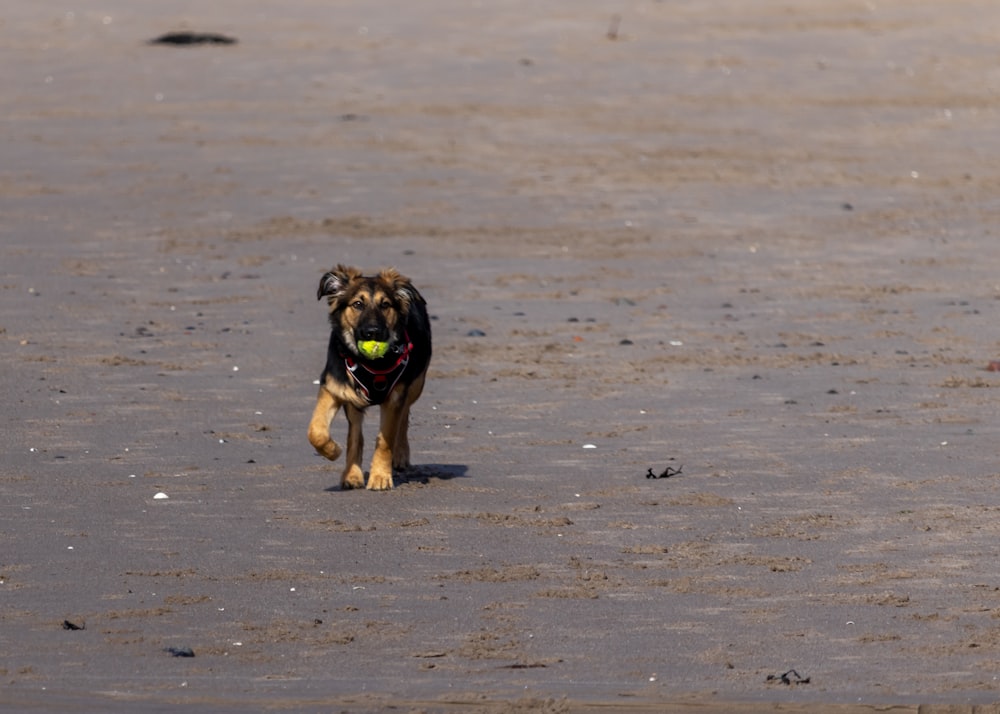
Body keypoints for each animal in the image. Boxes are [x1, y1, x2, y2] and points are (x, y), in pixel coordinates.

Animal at [304, 262, 430, 490]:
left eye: (385, 305)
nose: (373, 332)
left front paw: (380, 477)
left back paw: (400, 455)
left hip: (416, 385)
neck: (370, 363)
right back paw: (351, 475)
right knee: (356, 434)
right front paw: (333, 451)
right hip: (352, 400)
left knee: (404, 417)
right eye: (357, 304)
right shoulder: (333, 387)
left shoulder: (395, 398)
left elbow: (385, 439)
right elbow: (316, 431)